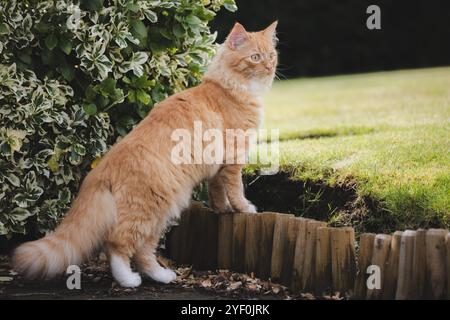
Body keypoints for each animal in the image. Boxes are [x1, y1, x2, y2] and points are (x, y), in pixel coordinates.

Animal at [12, 21, 278, 288]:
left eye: (271, 55)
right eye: (255, 57)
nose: (269, 67)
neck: (229, 87)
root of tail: (101, 169)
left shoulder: (218, 166)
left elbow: (217, 190)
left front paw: (223, 210)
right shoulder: (234, 156)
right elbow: (235, 188)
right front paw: (244, 208)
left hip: (159, 215)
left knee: (143, 252)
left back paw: (162, 276)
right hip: (146, 211)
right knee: (117, 245)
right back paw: (129, 280)